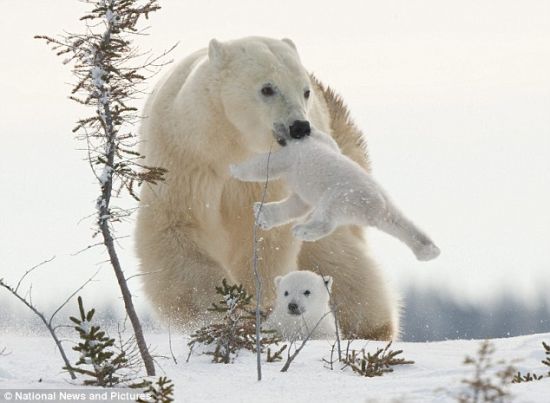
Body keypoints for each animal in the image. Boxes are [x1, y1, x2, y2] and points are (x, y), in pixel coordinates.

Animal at [136, 37, 398, 340]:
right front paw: (216, 308)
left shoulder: (270, 177)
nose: (299, 127)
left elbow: (264, 238)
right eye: (267, 88)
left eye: (304, 91)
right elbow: (176, 229)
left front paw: (253, 303)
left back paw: (371, 328)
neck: (230, 144)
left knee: (340, 260)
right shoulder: (185, 160)